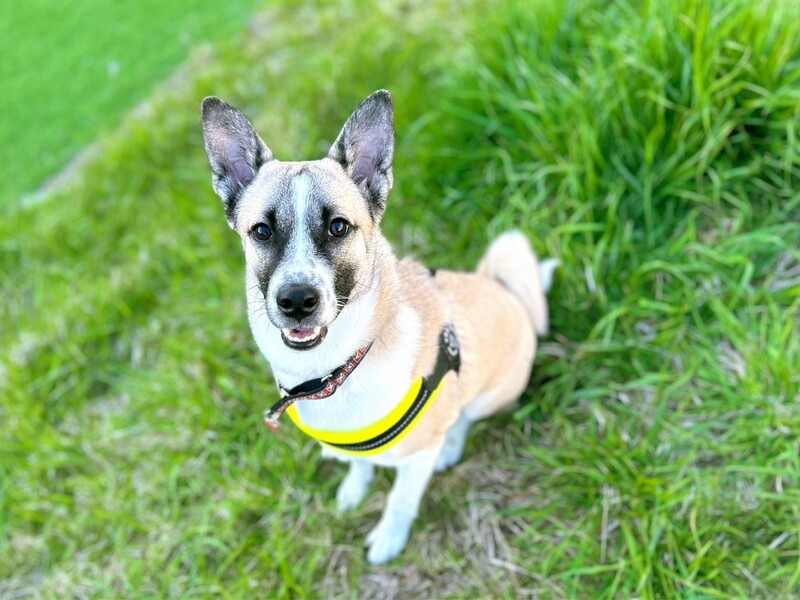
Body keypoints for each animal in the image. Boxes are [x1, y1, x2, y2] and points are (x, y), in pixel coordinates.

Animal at [201, 90, 557, 564]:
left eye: (338, 227)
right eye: (260, 231)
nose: (296, 301)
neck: (336, 368)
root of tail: (510, 293)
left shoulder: (415, 458)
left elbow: (401, 498)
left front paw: (389, 536)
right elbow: (359, 462)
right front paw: (355, 488)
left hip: (489, 393)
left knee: (463, 416)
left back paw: (450, 445)